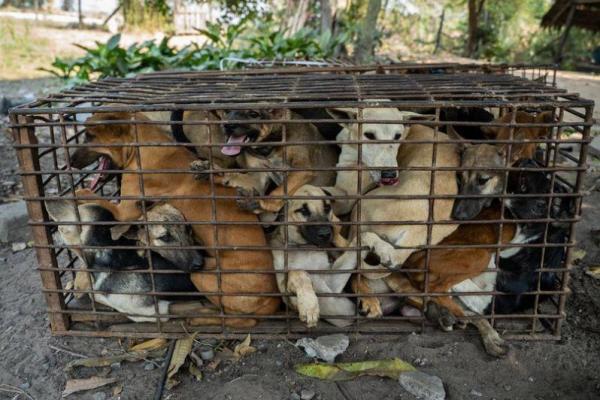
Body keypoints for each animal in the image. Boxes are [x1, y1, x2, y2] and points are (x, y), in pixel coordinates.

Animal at [69, 111, 278, 328]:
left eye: (89, 136)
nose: (69, 162)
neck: (143, 147)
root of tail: (273, 301)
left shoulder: (124, 211)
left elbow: (84, 192)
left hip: (202, 275)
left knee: (242, 320)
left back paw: (199, 316)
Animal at [191, 109, 338, 214]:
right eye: (226, 111)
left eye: (253, 114)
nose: (228, 125)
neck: (268, 148)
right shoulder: (258, 178)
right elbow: (234, 174)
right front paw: (211, 170)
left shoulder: (302, 170)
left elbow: (279, 191)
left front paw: (264, 203)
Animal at [270, 184, 356, 328]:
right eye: (303, 210)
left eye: (327, 208)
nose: (326, 234)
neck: (305, 248)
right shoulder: (287, 294)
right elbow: (297, 272)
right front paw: (309, 305)